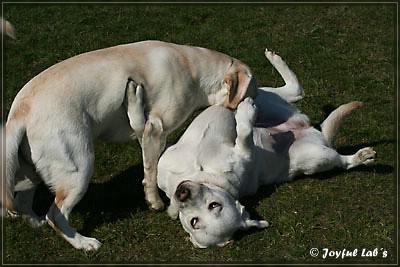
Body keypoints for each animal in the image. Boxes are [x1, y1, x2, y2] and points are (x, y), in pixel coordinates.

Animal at [3, 40, 256, 251]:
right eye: (251, 95)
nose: (255, 115)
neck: (192, 67)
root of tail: (19, 114)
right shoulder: (155, 129)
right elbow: (150, 173)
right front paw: (155, 203)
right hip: (79, 168)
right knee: (55, 215)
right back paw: (85, 243)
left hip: (31, 173)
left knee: (23, 203)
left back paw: (35, 223)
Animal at [157, 48, 378, 249]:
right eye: (194, 221)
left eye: (214, 205)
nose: (182, 193)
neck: (203, 173)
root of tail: (313, 131)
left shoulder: (243, 151)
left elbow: (244, 131)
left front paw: (244, 114)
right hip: (307, 145)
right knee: (296, 94)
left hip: (305, 145)